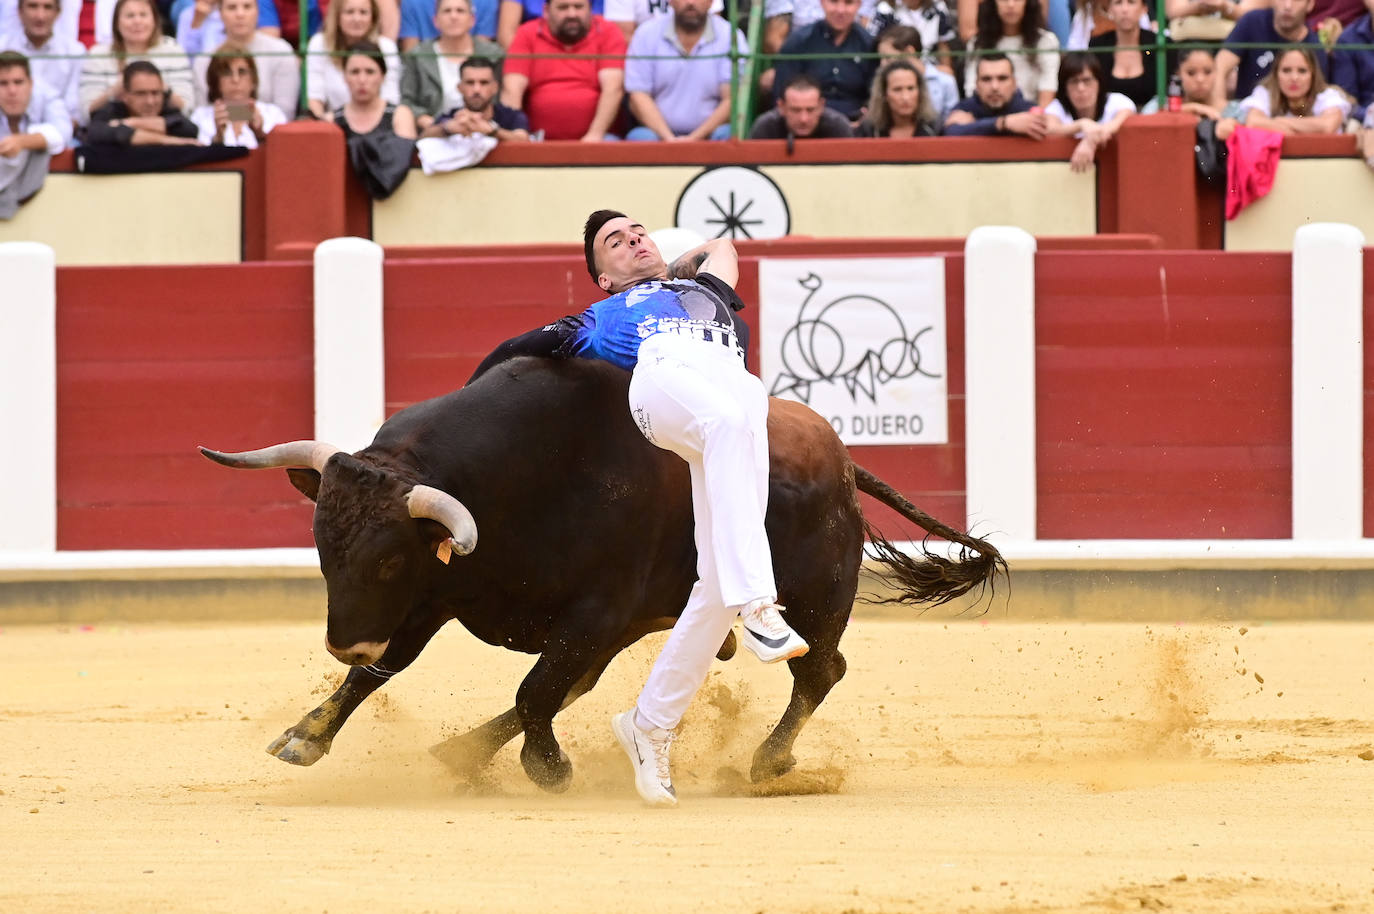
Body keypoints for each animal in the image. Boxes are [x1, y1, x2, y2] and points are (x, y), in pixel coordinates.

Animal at [199, 351, 1005, 786]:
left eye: (392, 557)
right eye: (323, 547)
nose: (344, 640)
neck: (522, 476)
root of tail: (840, 457)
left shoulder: (592, 609)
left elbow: (534, 688)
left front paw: (549, 770)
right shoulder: (442, 595)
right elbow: (387, 671)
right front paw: (306, 736)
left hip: (816, 598)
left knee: (818, 672)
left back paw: (766, 764)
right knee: (576, 683)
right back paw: (462, 752)